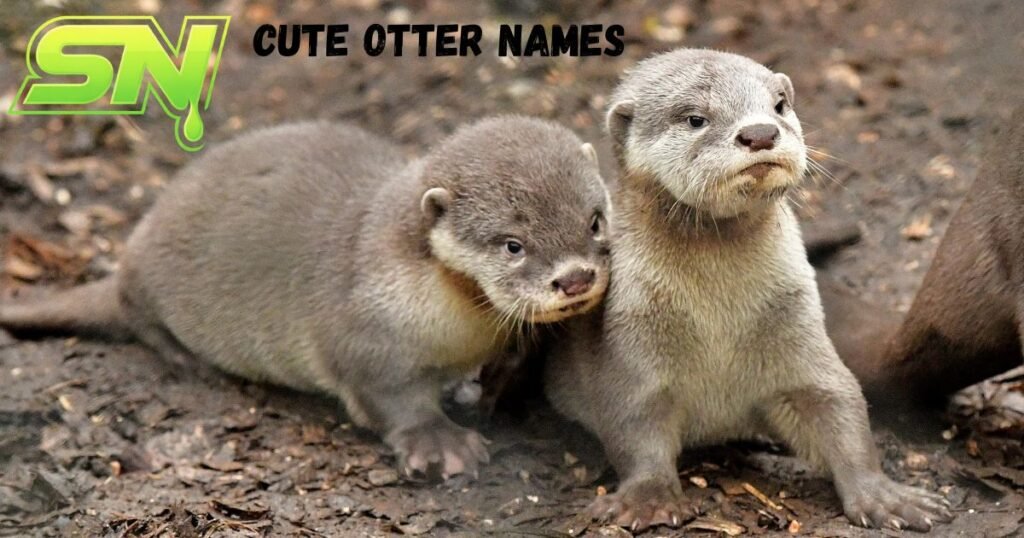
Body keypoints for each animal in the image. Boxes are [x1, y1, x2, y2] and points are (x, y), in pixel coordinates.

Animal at [0, 117, 612, 479]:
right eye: (513, 244)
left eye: (595, 220)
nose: (576, 278)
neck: (456, 329)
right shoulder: (361, 331)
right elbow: (390, 396)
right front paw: (439, 442)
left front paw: (495, 385)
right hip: (147, 281)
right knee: (137, 312)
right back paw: (188, 361)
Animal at [544, 49, 952, 531]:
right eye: (695, 118)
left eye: (778, 105)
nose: (760, 132)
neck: (718, 320)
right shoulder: (630, 340)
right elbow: (633, 425)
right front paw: (648, 498)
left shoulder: (799, 332)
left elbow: (840, 404)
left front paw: (883, 496)